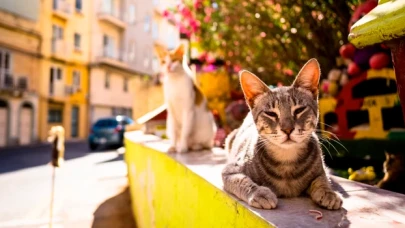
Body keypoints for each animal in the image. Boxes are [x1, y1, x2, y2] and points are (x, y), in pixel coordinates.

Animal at [221, 59, 340, 210]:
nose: (287, 129)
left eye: (299, 110)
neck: (286, 161)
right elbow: (242, 180)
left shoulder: (320, 169)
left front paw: (328, 192)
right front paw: (260, 192)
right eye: (271, 113)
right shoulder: (230, 170)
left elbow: (322, 179)